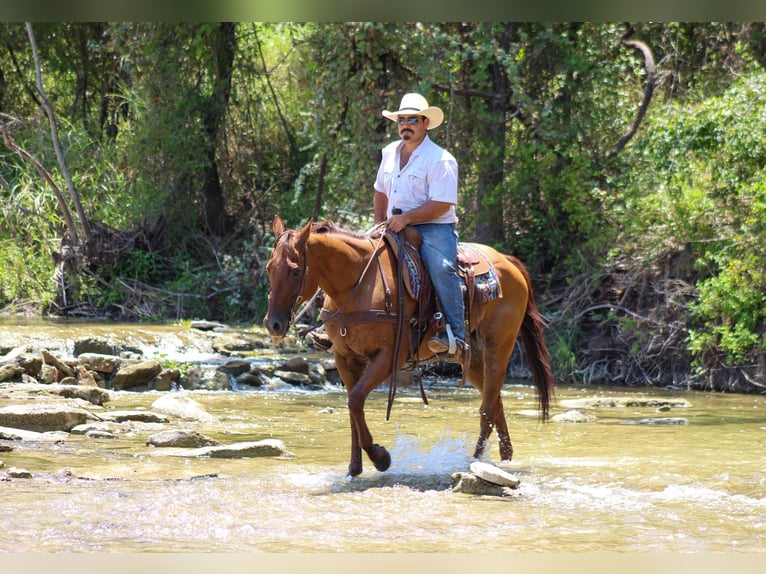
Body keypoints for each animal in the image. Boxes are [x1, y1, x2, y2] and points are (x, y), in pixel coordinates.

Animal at [263, 214, 554, 477]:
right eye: (268, 267)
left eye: (295, 270)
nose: (273, 324)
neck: (359, 283)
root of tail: (509, 262)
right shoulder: (345, 358)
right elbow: (352, 408)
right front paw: (354, 468)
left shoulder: (388, 356)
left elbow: (356, 400)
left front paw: (380, 458)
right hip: (472, 359)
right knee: (495, 402)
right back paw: (504, 459)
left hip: (499, 348)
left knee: (487, 407)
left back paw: (474, 461)